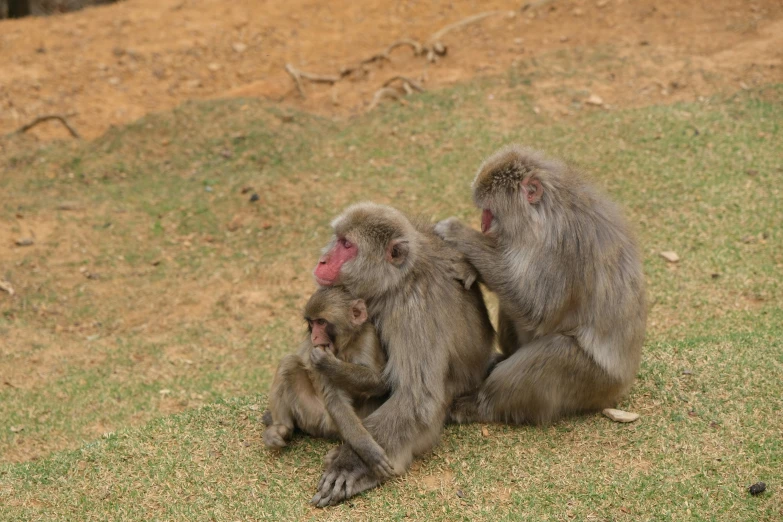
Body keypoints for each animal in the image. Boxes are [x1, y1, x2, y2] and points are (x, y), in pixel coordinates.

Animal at [264, 284, 398, 480]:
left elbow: (382, 383)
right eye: (311, 323)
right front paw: (367, 448)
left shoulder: (368, 337)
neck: (345, 346)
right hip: (316, 415)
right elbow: (334, 398)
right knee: (288, 363)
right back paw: (282, 428)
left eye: (321, 322)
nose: (314, 337)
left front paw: (329, 363)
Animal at [308, 202, 496, 504]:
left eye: (347, 245)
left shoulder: (414, 310)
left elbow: (417, 397)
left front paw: (350, 463)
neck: (395, 283)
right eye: (337, 238)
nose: (323, 261)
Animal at [434, 144, 648, 424]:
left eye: (489, 210)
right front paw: (469, 267)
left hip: (593, 382)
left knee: (555, 351)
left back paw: (479, 405)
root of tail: (619, 388)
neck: (543, 215)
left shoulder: (563, 244)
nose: (482, 224)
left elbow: (537, 309)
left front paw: (459, 233)